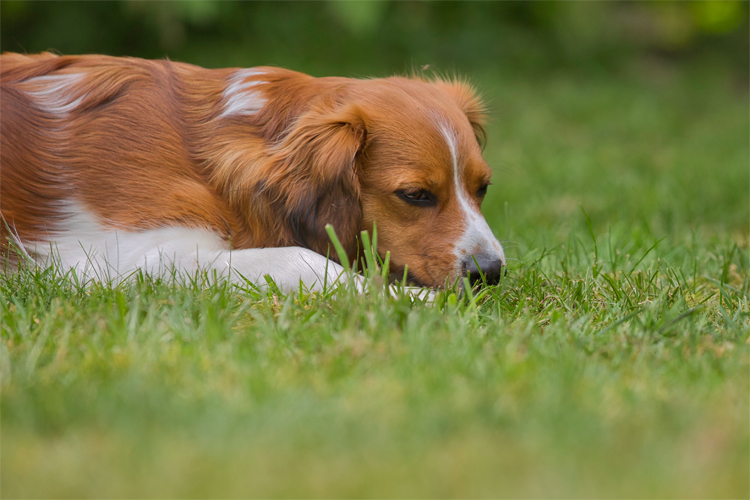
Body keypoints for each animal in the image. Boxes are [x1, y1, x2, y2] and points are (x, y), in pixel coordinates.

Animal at [1, 52, 506, 292]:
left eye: (482, 188)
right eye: (416, 195)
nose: (491, 272)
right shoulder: (136, 258)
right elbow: (297, 257)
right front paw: (416, 301)